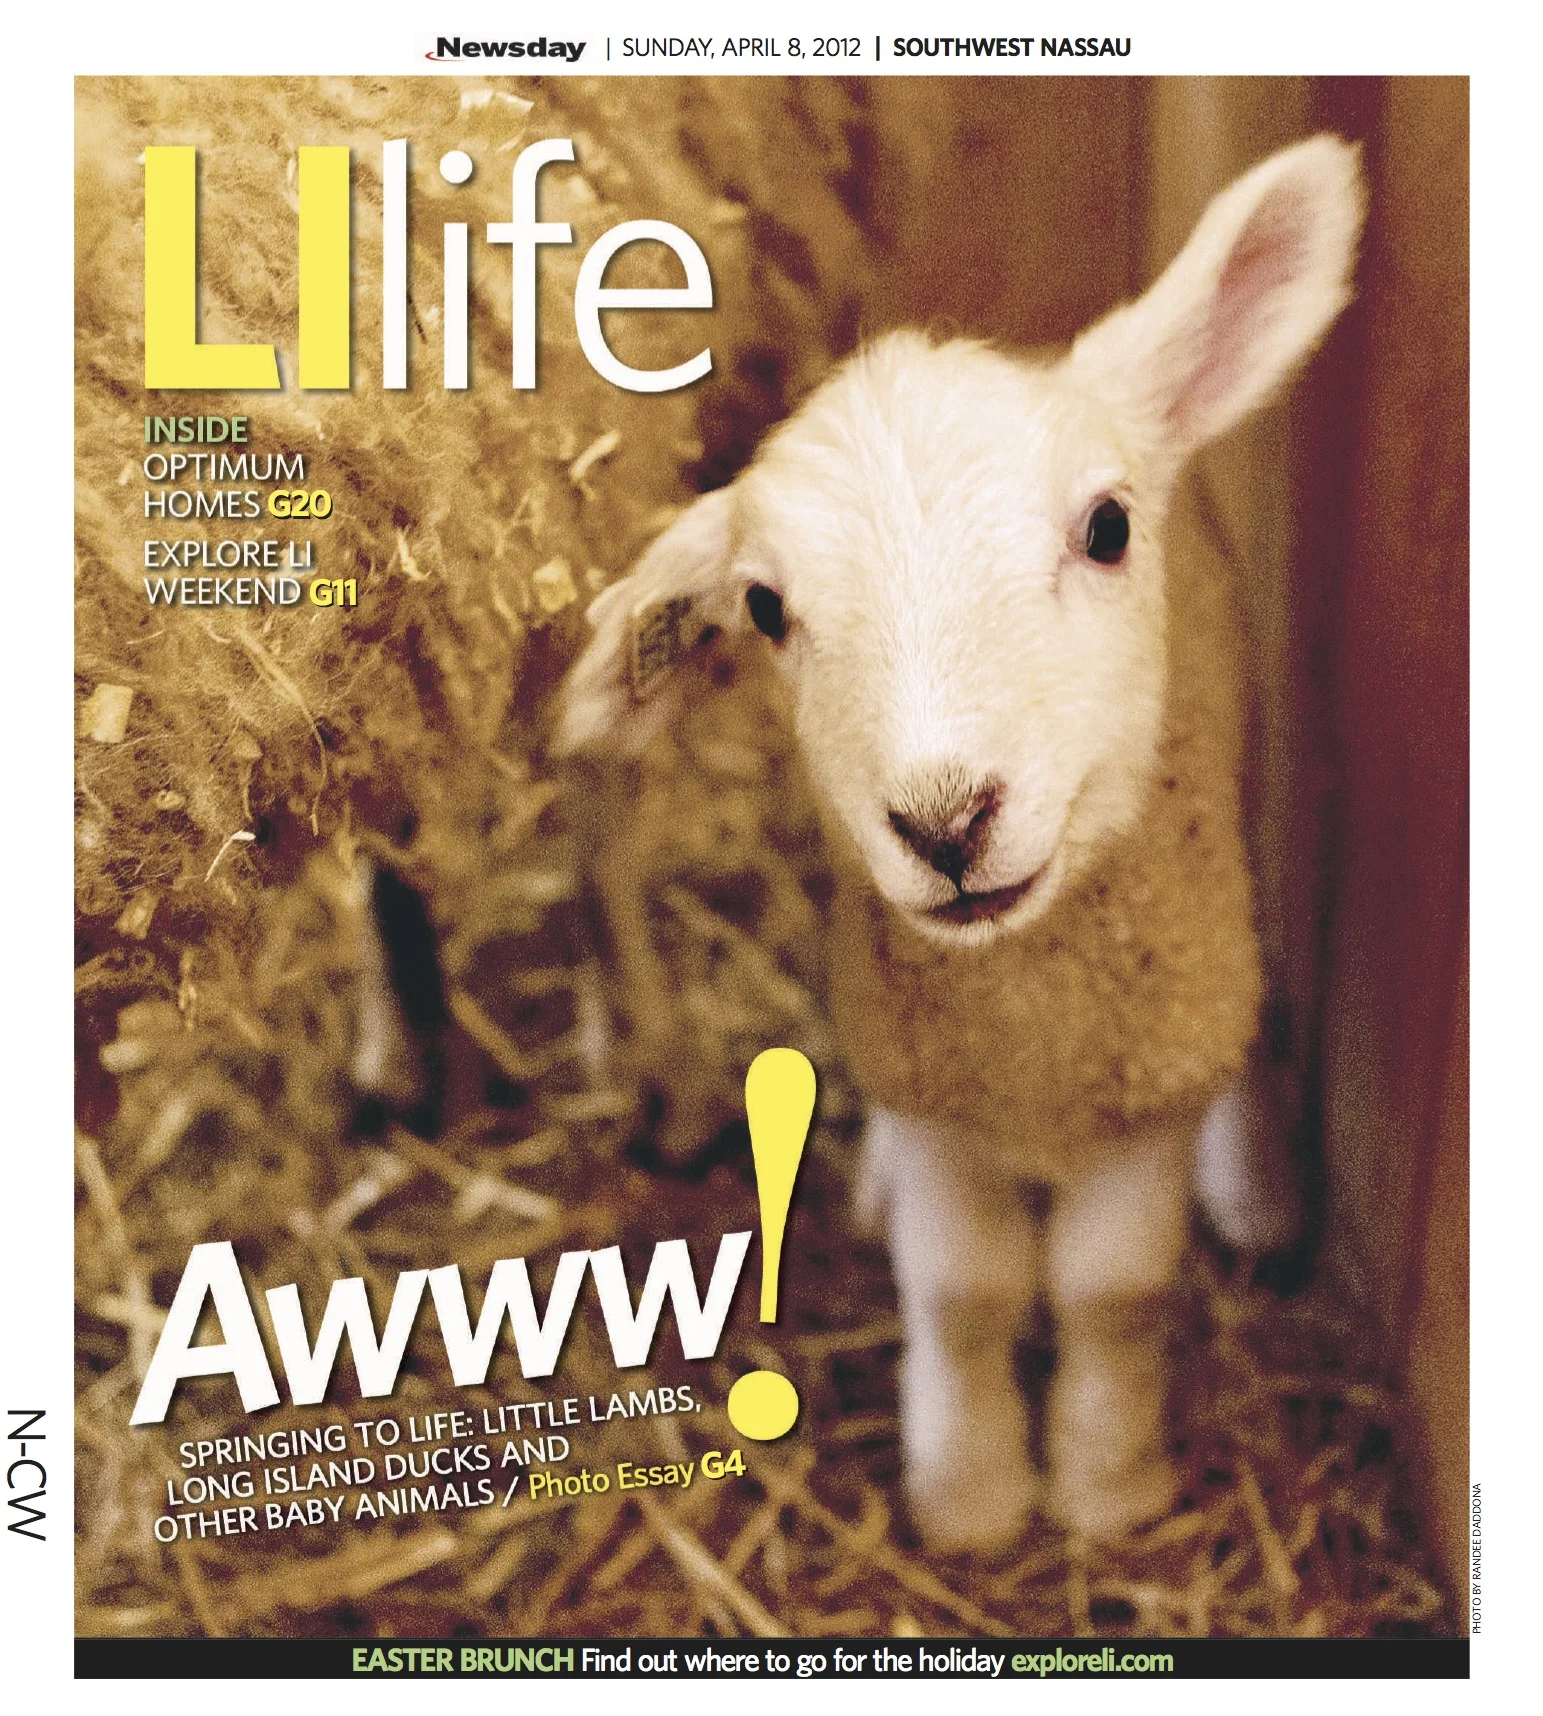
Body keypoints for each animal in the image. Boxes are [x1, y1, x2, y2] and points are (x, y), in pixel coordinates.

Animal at [556, 136, 1366, 1551]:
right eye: (762, 608)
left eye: (1108, 528)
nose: (945, 824)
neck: (1028, 1038)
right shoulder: (934, 1100)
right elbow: (965, 1296)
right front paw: (971, 1496)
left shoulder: (1142, 1100)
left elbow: (1109, 1293)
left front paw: (1103, 1485)